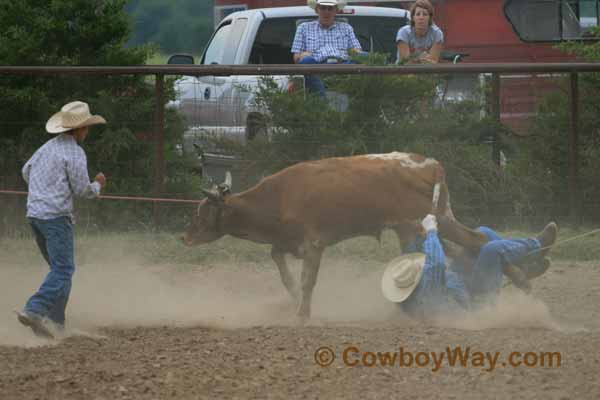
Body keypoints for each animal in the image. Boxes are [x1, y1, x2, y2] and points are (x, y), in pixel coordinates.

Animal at [183, 152, 488, 320]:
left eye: (202, 212)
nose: (185, 237)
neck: (280, 197)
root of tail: (431, 164)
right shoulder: (287, 242)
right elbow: (282, 268)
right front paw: (294, 299)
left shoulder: (313, 244)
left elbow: (308, 281)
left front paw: (303, 314)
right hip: (417, 225)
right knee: (460, 251)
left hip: (437, 220)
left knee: (477, 242)